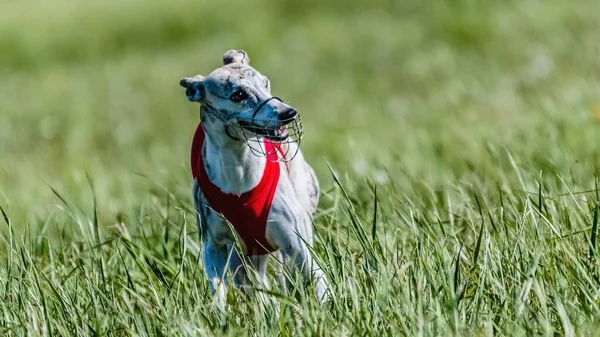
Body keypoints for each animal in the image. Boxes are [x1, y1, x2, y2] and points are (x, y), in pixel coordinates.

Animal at [179, 50, 328, 304]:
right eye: (238, 94)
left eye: (265, 83)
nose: (288, 113)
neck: (239, 172)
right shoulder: (214, 248)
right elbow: (218, 293)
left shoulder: (298, 247)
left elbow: (317, 280)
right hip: (246, 259)